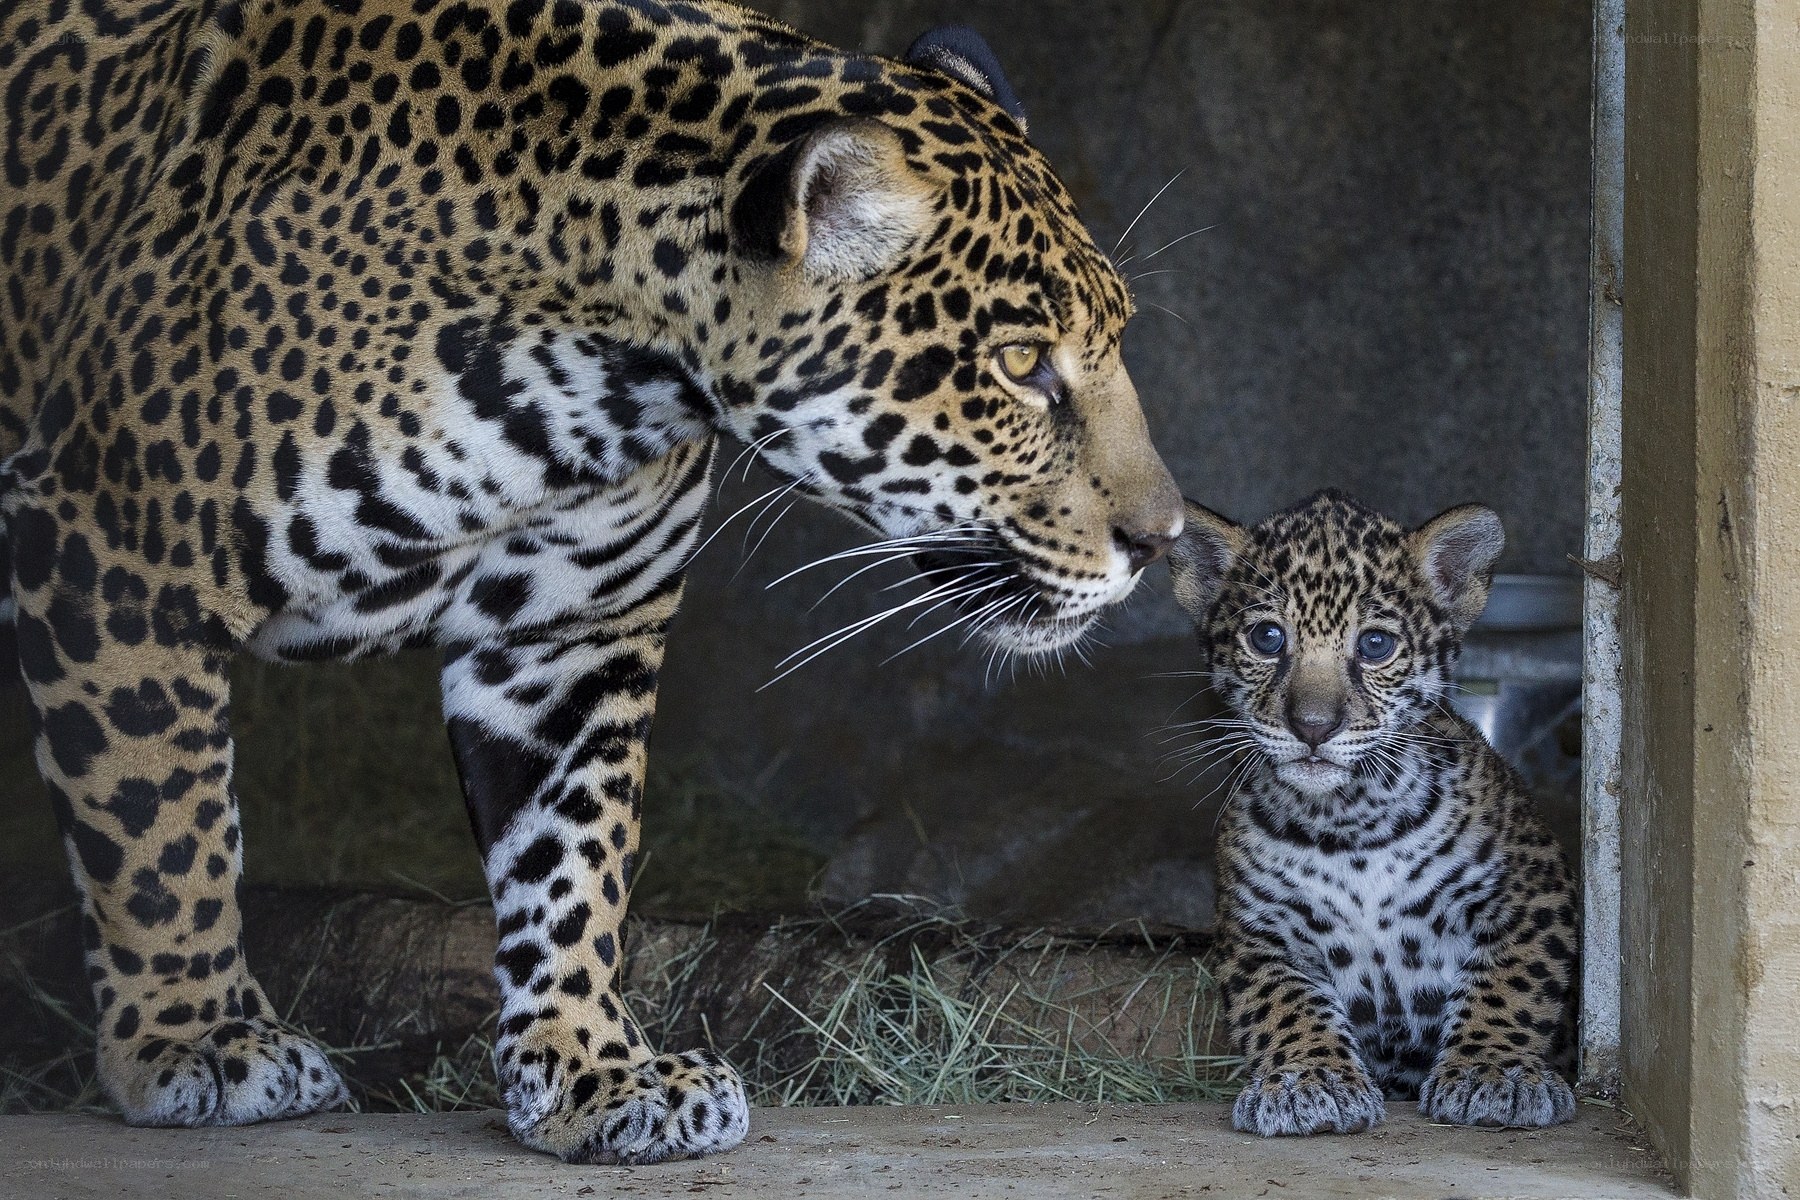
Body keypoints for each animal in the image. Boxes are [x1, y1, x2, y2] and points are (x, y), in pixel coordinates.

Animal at [0, 0, 1184, 1163]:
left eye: (1117, 336)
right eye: (1022, 366)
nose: (1163, 538)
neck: (594, 374)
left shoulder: (569, 631)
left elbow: (573, 858)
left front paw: (593, 1071)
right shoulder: (108, 554)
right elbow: (162, 828)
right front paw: (196, 1040)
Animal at [1167, 490, 1578, 1136]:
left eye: (1375, 645)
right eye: (1267, 638)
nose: (1313, 726)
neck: (1350, 822)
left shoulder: (1533, 894)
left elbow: (1511, 984)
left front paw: (1494, 1072)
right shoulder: (1257, 932)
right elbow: (1285, 1003)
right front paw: (1309, 1081)